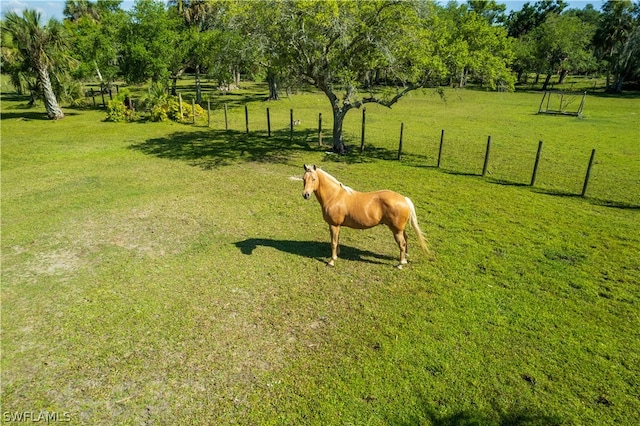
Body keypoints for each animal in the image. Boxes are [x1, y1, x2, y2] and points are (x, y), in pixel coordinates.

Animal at [302, 165, 430, 268]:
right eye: (304, 178)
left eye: (313, 179)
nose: (305, 195)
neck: (334, 196)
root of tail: (404, 199)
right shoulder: (338, 226)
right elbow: (337, 240)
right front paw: (337, 254)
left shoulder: (334, 225)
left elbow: (333, 242)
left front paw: (332, 261)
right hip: (399, 229)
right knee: (406, 239)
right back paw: (405, 258)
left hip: (396, 230)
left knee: (402, 244)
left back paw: (400, 264)